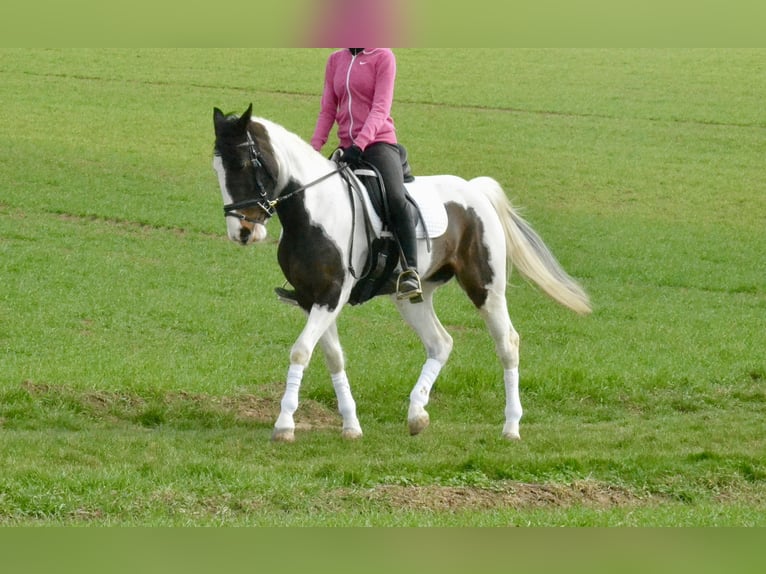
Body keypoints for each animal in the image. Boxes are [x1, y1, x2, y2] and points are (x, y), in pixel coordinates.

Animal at [212, 104, 591, 442]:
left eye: (243, 164)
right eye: (217, 169)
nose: (241, 232)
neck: (314, 213)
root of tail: (475, 189)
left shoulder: (332, 295)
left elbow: (301, 351)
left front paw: (284, 424)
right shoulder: (311, 299)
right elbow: (333, 357)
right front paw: (351, 426)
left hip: (487, 288)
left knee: (507, 344)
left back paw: (511, 427)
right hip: (411, 297)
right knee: (440, 343)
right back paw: (416, 414)